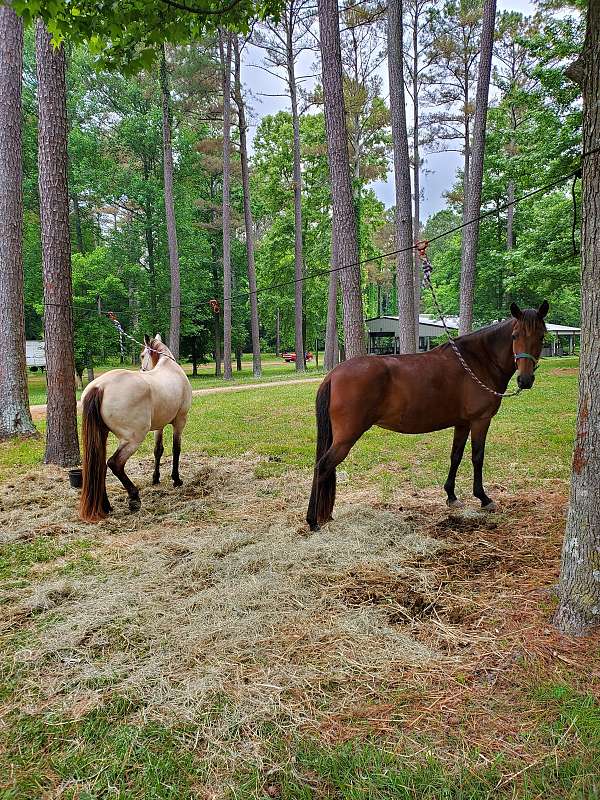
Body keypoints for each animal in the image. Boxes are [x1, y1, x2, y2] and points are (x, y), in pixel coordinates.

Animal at [79, 334, 192, 520]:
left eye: (142, 355)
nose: (142, 369)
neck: (169, 368)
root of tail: (100, 386)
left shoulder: (159, 426)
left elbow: (158, 450)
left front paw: (156, 478)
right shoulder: (180, 421)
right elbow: (176, 449)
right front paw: (176, 479)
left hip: (102, 435)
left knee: (100, 466)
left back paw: (106, 506)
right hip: (133, 439)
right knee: (114, 463)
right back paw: (134, 498)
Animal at [308, 302, 548, 532]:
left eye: (542, 336)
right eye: (515, 336)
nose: (525, 380)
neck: (477, 361)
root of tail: (333, 374)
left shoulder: (462, 423)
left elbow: (456, 456)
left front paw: (451, 496)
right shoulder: (481, 420)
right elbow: (477, 457)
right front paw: (483, 498)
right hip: (346, 437)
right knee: (322, 466)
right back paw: (312, 521)